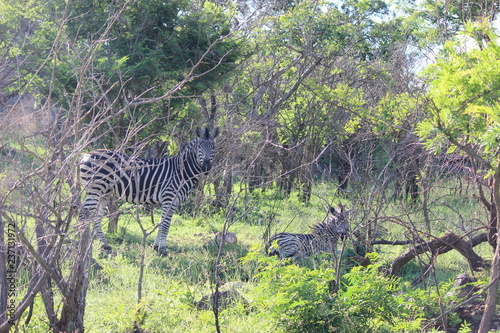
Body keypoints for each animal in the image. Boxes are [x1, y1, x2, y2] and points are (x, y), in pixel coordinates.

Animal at [79, 126, 218, 253]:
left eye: (213, 148)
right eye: (199, 147)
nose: (206, 168)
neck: (182, 172)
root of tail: (86, 154)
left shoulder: (173, 200)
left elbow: (162, 221)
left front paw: (156, 246)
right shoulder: (169, 197)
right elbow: (166, 223)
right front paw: (162, 249)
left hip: (105, 192)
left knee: (96, 217)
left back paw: (105, 245)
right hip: (95, 188)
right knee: (83, 214)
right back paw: (81, 244)